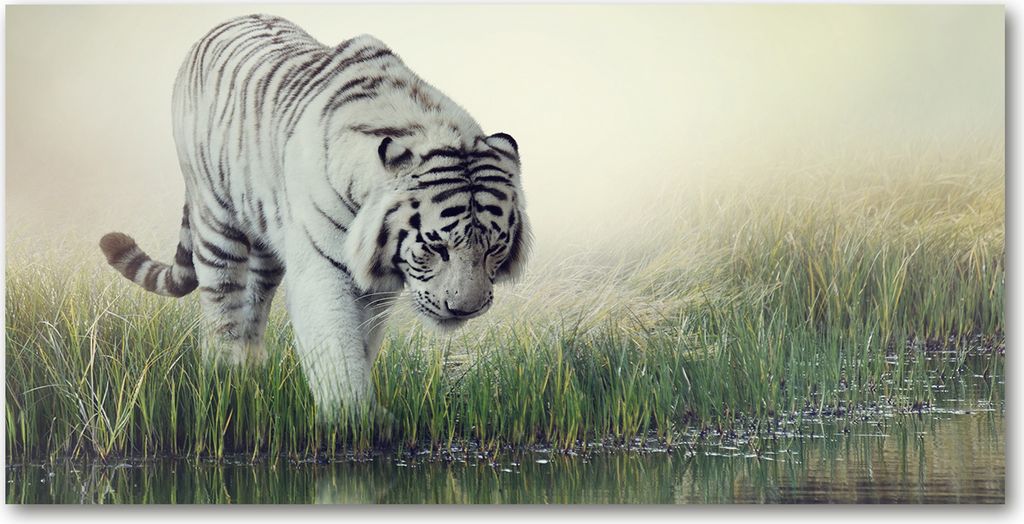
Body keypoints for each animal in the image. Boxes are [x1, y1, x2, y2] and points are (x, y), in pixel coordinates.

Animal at [98, 14, 530, 417]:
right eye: (436, 247)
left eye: (494, 249)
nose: (466, 310)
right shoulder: (321, 268)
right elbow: (336, 341)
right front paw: (353, 418)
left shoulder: (375, 285)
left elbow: (361, 340)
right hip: (215, 221)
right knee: (222, 306)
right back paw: (226, 376)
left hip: (267, 243)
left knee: (254, 305)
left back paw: (252, 372)